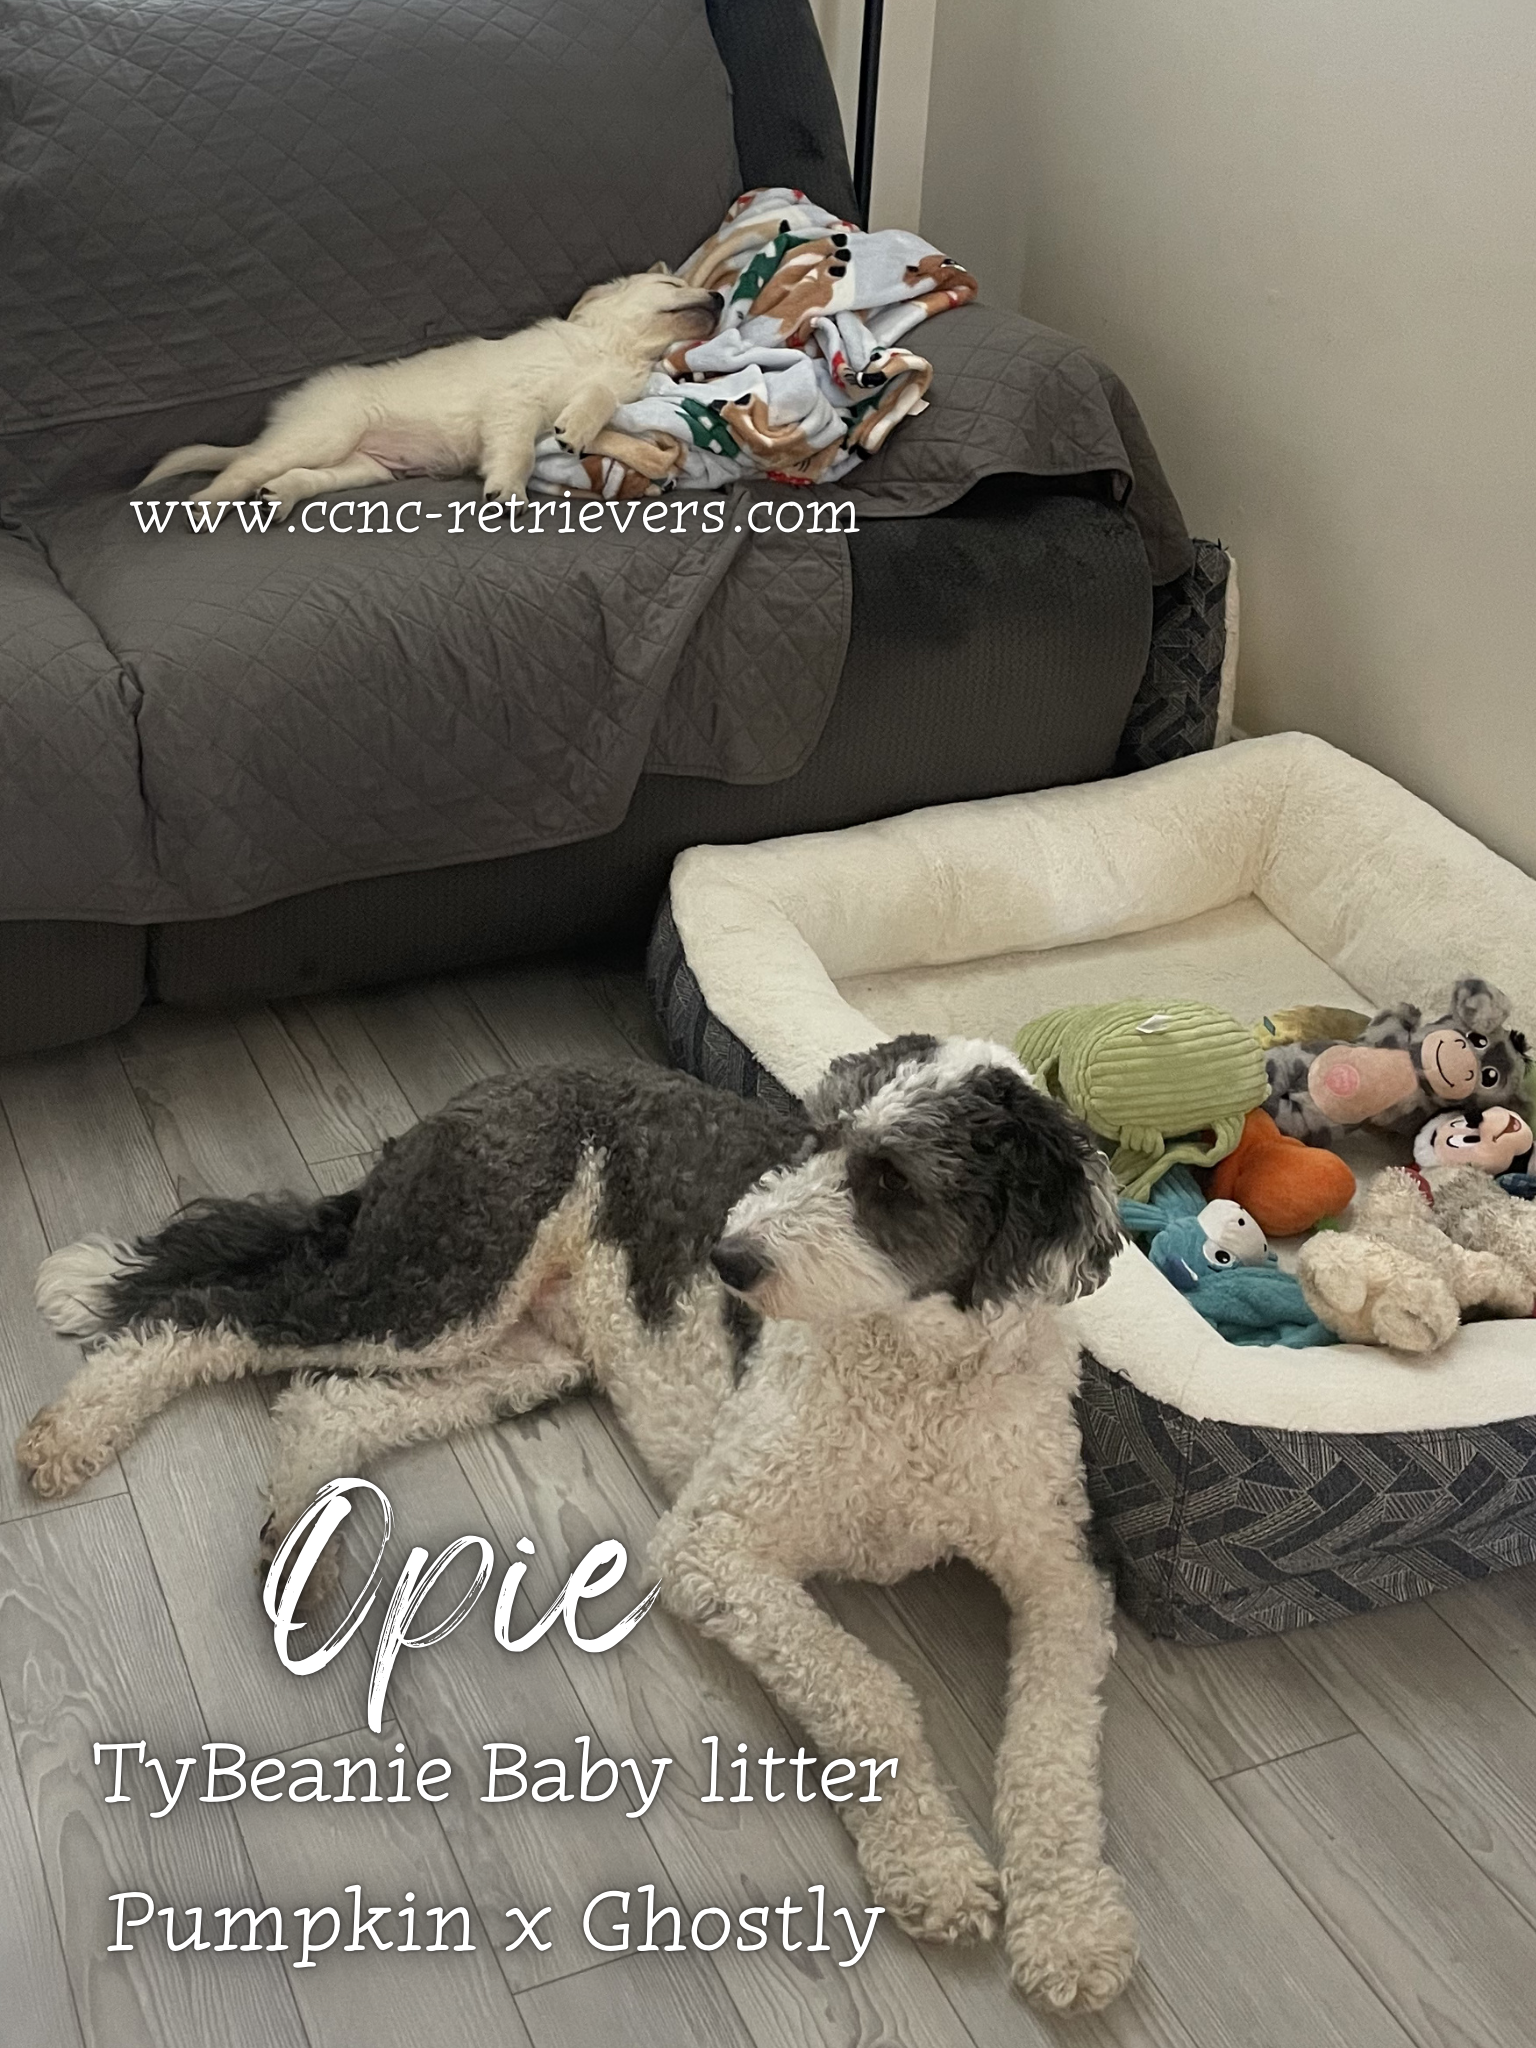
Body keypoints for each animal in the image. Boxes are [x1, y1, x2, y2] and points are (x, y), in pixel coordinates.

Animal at [20, 1036, 1135, 2012]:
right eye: (813, 1135)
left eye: (892, 1182)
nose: (727, 1257)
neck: (923, 1379)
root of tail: (487, 1088)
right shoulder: (710, 1542)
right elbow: (868, 1689)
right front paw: (932, 1863)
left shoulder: (1062, 1579)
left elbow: (1057, 1750)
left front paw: (1071, 1927)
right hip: (446, 1282)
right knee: (207, 1315)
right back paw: (79, 1429)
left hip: (519, 1356)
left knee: (324, 1402)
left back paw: (304, 1536)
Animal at [141, 266, 721, 514]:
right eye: (671, 285)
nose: (718, 297)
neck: (612, 349)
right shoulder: (517, 402)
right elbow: (524, 448)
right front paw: (507, 490)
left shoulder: (560, 413)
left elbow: (604, 423)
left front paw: (643, 457)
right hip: (325, 433)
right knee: (242, 467)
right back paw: (204, 505)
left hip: (363, 467)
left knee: (296, 476)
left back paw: (278, 498)